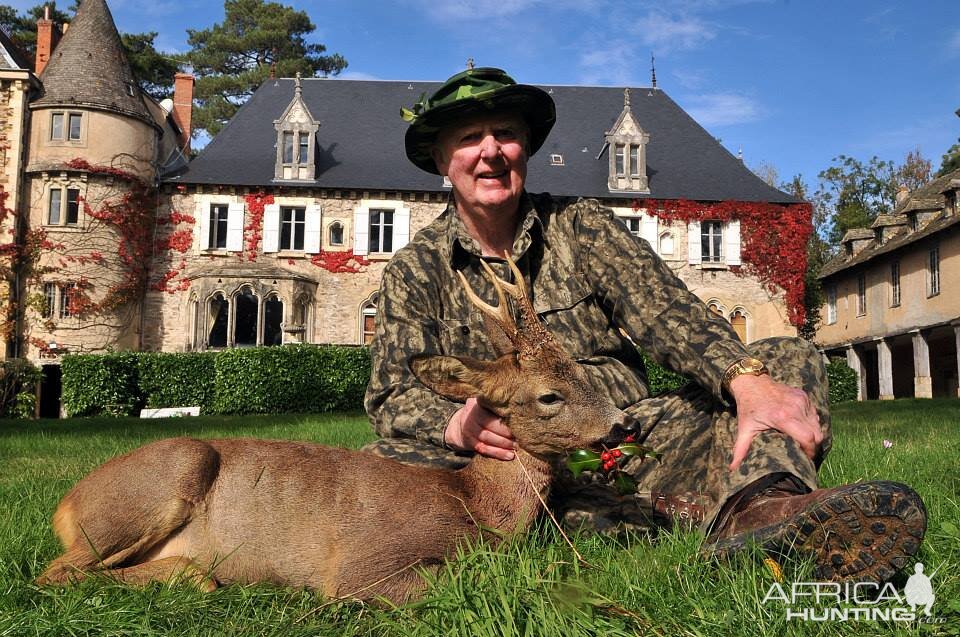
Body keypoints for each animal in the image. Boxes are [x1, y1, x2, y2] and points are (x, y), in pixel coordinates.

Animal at [37, 256, 632, 604]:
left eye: (584, 372)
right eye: (550, 395)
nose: (621, 423)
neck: (476, 504)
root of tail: (64, 503)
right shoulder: (365, 563)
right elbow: (457, 579)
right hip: (159, 481)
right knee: (54, 573)